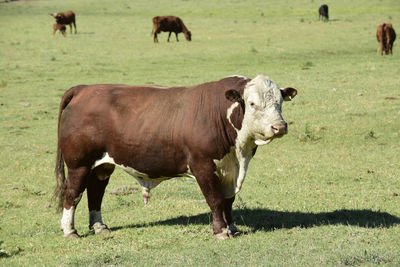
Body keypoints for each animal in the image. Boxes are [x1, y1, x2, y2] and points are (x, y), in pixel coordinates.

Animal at [53, 75, 296, 241]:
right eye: (253, 103)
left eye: (280, 102)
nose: (279, 127)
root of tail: (85, 89)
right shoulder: (203, 166)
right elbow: (215, 200)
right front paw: (221, 231)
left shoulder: (230, 170)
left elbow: (228, 201)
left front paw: (232, 228)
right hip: (79, 164)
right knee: (73, 193)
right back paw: (70, 230)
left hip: (101, 165)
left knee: (96, 191)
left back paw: (99, 226)